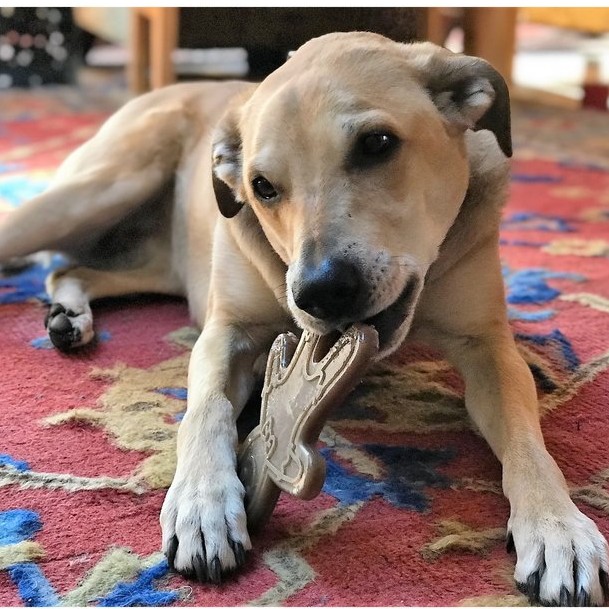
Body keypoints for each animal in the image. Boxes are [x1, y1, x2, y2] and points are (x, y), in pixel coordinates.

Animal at [0, 32, 604, 604]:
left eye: (377, 143)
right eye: (261, 187)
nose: (320, 293)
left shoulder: (486, 345)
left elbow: (526, 436)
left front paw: (558, 529)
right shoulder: (227, 332)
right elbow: (207, 408)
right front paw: (202, 502)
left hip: (156, 258)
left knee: (72, 267)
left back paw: (69, 311)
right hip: (96, 191)